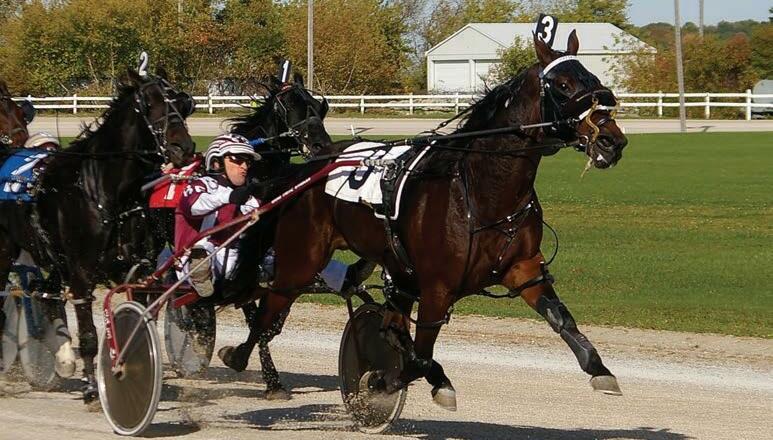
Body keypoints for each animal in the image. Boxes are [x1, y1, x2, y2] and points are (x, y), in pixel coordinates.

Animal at [0, 68, 195, 402]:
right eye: (150, 104)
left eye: (184, 104)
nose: (184, 148)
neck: (103, 190)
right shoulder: (81, 272)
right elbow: (89, 334)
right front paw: (93, 386)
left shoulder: (137, 272)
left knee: (46, 293)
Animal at [220, 30, 628, 405]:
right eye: (563, 85)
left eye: (593, 77)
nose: (613, 141)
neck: (484, 192)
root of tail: (308, 169)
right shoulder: (436, 287)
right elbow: (419, 356)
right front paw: (387, 380)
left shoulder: (524, 269)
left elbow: (562, 319)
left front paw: (599, 369)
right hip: (301, 260)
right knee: (267, 310)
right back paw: (243, 359)